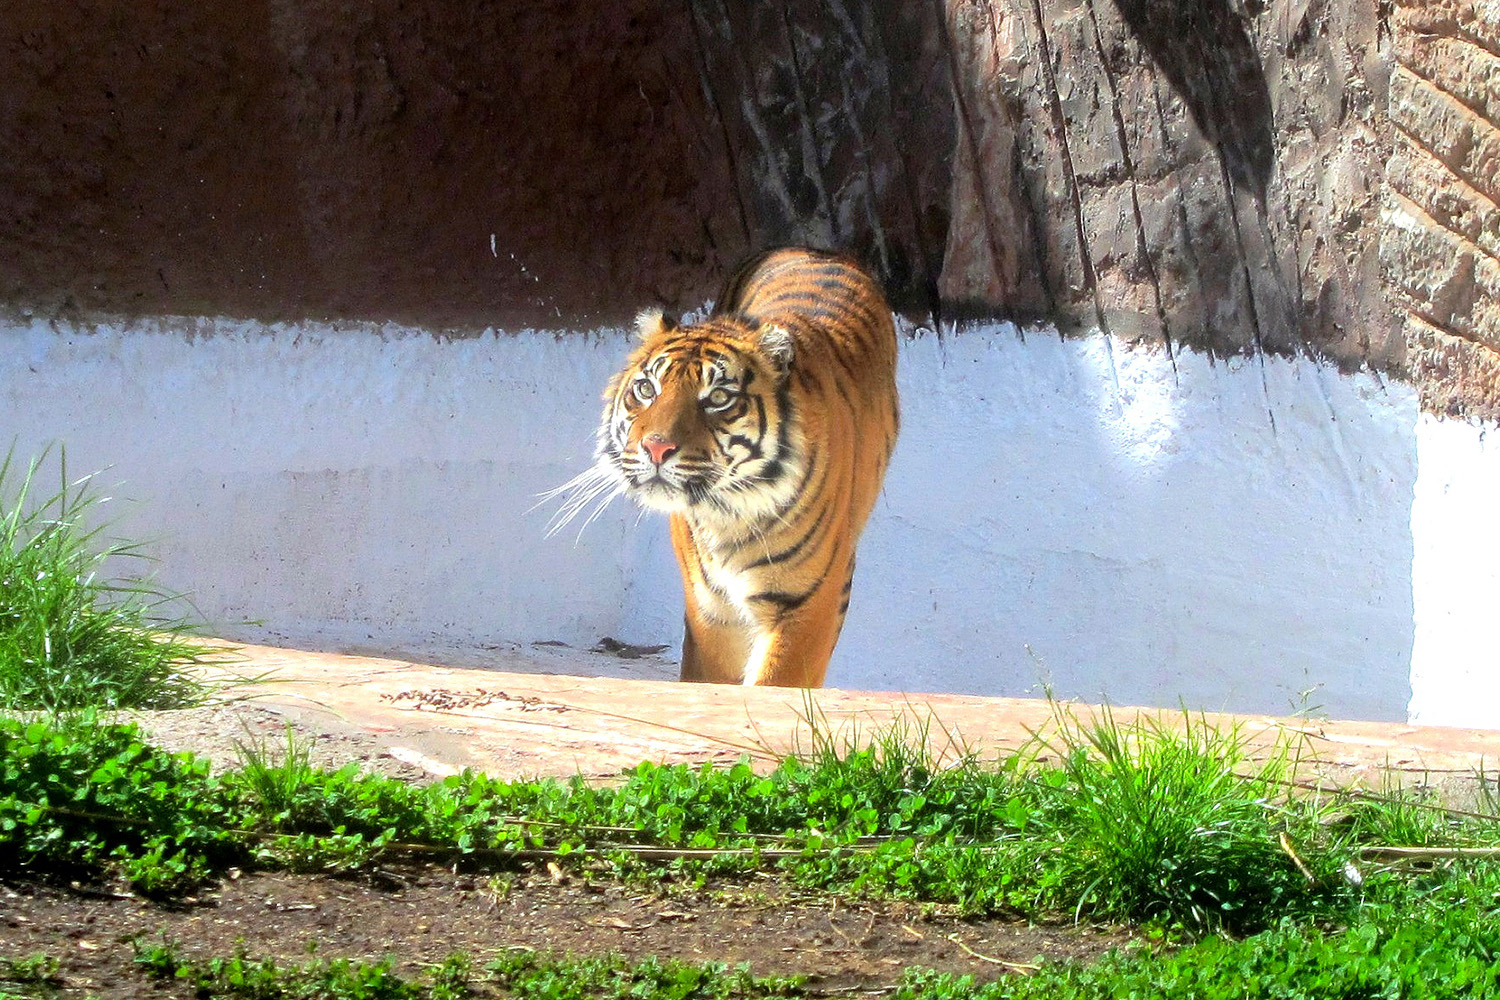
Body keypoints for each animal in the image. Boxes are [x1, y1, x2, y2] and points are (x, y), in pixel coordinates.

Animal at [549, 247, 899, 687]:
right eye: (646, 389)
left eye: (717, 398)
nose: (656, 447)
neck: (729, 513)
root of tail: (812, 250)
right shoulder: (711, 610)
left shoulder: (806, 601)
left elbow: (774, 685)